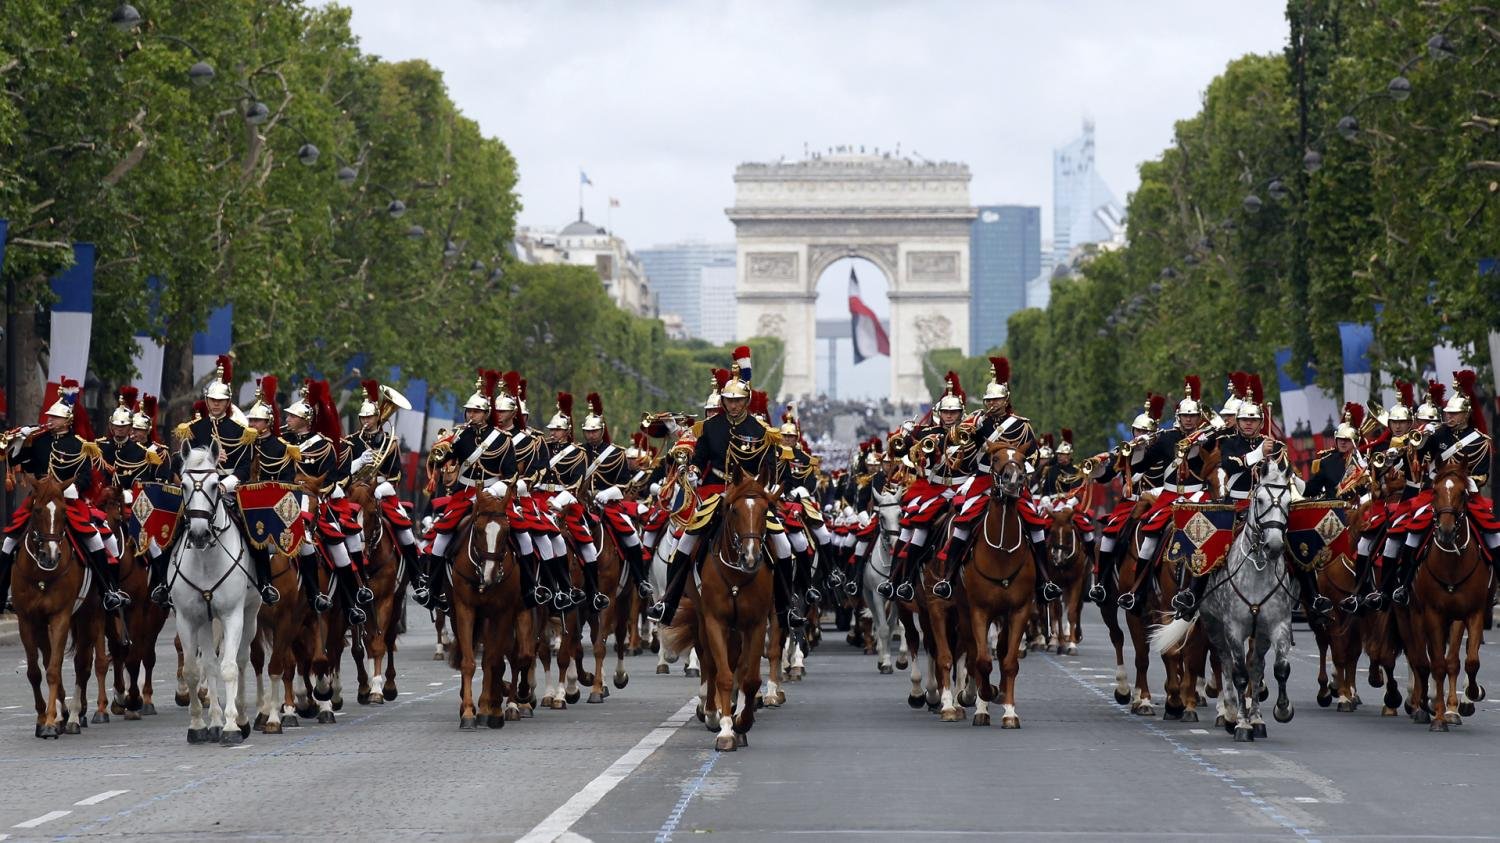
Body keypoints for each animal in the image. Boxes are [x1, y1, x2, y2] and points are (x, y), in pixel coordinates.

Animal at [171, 441, 261, 741]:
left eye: (214, 485)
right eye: (184, 484)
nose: (199, 534)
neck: (206, 559)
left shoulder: (233, 615)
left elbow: (230, 668)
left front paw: (232, 726)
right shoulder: (188, 618)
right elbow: (193, 669)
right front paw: (199, 724)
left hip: (250, 614)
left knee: (242, 660)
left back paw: (242, 718)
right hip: (206, 621)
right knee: (209, 663)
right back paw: (214, 720)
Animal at [447, 483, 537, 726]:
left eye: (506, 531)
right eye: (478, 530)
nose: (490, 575)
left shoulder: (504, 612)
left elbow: (498, 660)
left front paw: (493, 709)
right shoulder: (465, 609)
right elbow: (469, 662)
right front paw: (469, 712)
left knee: (512, 656)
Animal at [666, 468, 780, 750]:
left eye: (766, 510)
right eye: (735, 510)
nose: (750, 558)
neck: (737, 575)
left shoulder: (755, 622)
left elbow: (750, 677)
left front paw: (742, 722)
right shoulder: (714, 620)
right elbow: (723, 674)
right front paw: (725, 729)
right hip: (703, 618)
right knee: (710, 660)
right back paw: (710, 711)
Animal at [1152, 450, 1296, 738]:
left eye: (1287, 500)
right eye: (1260, 499)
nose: (1274, 545)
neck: (1257, 571)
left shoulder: (1277, 625)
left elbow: (1277, 668)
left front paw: (1280, 711)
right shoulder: (1233, 628)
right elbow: (1237, 673)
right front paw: (1240, 723)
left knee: (1254, 667)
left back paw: (1253, 718)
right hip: (1214, 626)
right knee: (1225, 663)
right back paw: (1226, 713)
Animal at [1404, 459, 1488, 729]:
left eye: (1463, 493)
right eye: (1435, 492)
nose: (1446, 532)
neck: (1452, 563)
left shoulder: (1471, 613)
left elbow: (1466, 661)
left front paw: (1468, 697)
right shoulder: (1432, 613)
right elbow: (1437, 664)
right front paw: (1439, 716)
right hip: (1414, 613)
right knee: (1420, 660)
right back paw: (1419, 703)